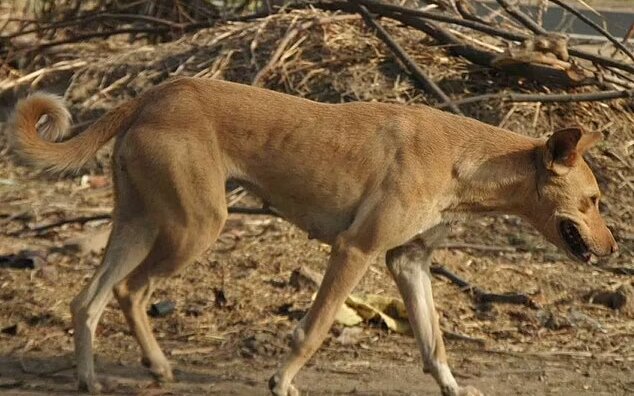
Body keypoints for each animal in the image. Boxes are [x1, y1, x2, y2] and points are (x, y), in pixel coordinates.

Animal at [7, 78, 616, 396]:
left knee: (89, 300)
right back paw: (150, 367)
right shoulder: (355, 250)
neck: (463, 159)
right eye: (592, 201)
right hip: (194, 226)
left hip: (139, 223)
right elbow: (314, 329)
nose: (612, 249)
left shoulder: (408, 264)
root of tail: (159, 92)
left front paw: (453, 387)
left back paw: (93, 378)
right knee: (131, 292)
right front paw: (281, 381)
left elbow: (435, 344)